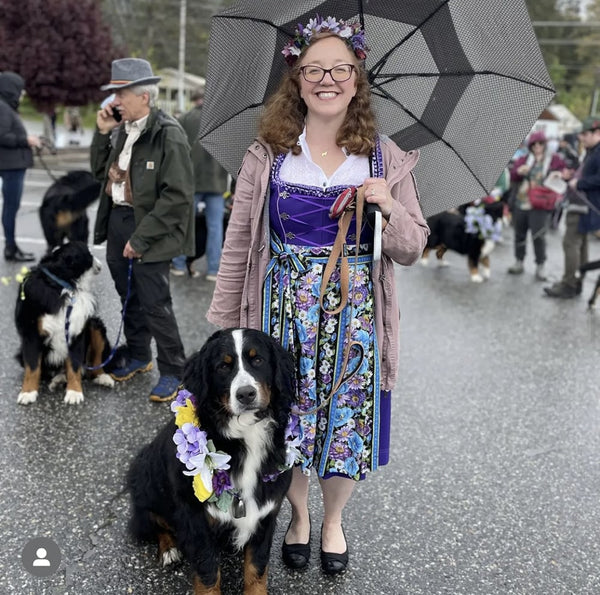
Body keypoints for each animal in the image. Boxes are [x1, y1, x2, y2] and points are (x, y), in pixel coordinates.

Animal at [13, 241, 115, 406]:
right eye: (89, 254)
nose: (100, 265)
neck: (63, 286)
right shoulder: (31, 333)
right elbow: (33, 367)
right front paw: (28, 392)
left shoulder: (76, 331)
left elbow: (74, 365)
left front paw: (74, 392)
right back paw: (59, 379)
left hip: (95, 324)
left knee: (95, 364)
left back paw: (102, 377)